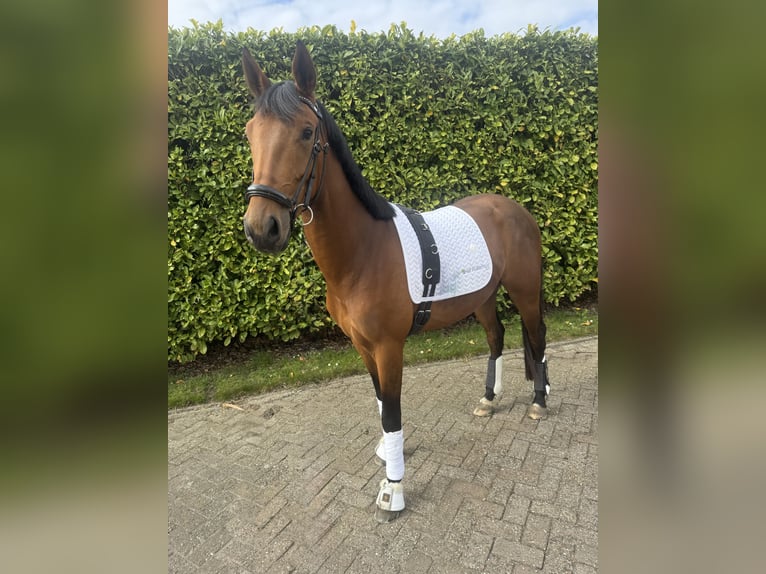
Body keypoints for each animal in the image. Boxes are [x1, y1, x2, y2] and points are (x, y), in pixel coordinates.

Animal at [240, 41, 551, 522]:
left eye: (308, 133)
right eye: (250, 133)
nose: (262, 228)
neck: (364, 252)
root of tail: (514, 208)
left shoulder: (389, 347)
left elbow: (392, 412)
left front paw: (393, 490)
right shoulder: (363, 346)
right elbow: (380, 403)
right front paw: (389, 455)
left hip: (524, 290)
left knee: (535, 334)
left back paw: (539, 401)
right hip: (481, 297)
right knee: (497, 337)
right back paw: (489, 399)